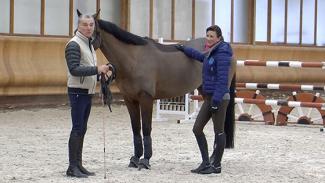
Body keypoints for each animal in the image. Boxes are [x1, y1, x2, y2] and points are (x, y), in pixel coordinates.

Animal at [86, 10, 233, 169]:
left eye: (90, 30)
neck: (134, 59)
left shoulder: (146, 98)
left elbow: (146, 128)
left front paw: (145, 160)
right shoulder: (129, 99)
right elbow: (136, 129)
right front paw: (135, 159)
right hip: (204, 92)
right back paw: (211, 160)